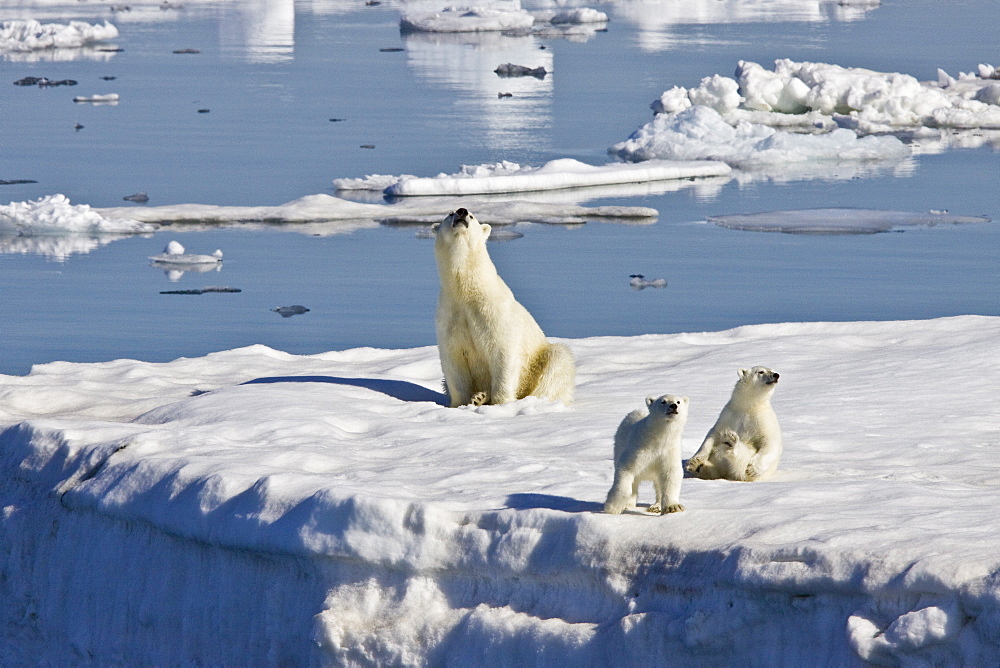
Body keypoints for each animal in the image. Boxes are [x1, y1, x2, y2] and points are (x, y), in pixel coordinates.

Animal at [432, 209, 580, 408]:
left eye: (472, 216)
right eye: (450, 213)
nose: (462, 212)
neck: (466, 291)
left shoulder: (495, 313)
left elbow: (503, 352)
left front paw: (500, 404)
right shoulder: (450, 316)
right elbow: (453, 360)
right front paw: (460, 404)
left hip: (542, 359)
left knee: (558, 361)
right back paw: (480, 397)